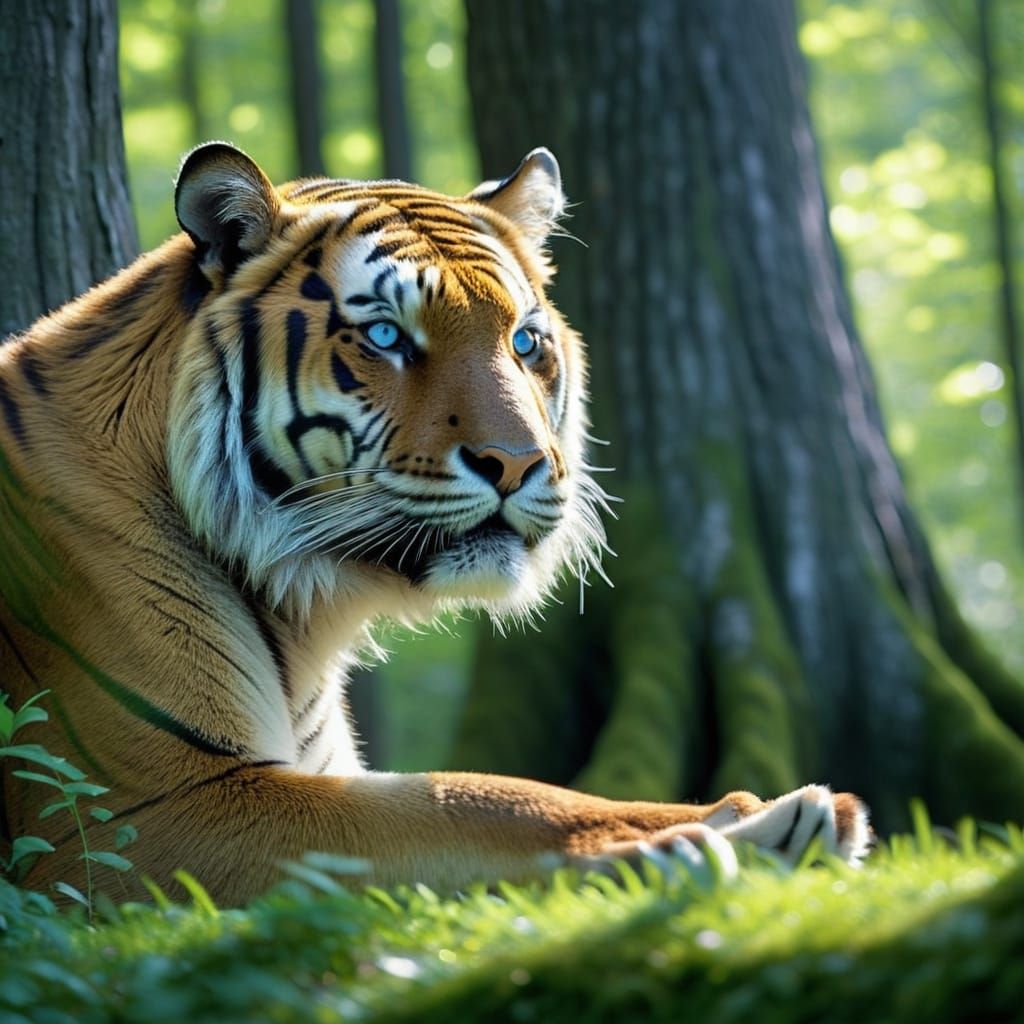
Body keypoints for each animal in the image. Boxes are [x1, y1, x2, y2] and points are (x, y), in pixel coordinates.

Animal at [0, 143, 870, 905]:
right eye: (387, 334)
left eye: (525, 341)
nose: (517, 463)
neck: (302, 615)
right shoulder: (135, 813)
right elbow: (472, 801)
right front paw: (714, 841)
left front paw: (756, 813)